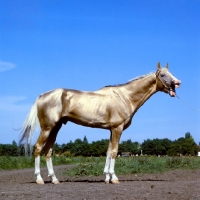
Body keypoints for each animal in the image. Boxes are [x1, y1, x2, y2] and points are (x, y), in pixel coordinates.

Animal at [19, 62, 181, 184]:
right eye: (163, 75)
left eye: (170, 73)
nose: (178, 83)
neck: (125, 97)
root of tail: (42, 96)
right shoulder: (117, 128)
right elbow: (114, 152)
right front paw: (114, 178)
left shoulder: (111, 130)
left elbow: (109, 151)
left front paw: (107, 177)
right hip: (47, 128)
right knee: (38, 148)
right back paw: (39, 179)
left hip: (55, 128)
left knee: (48, 150)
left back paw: (54, 179)